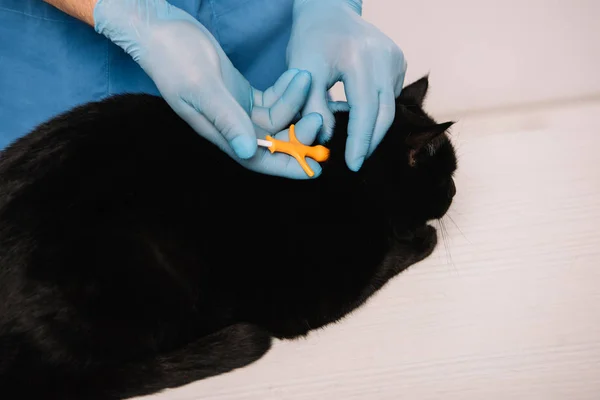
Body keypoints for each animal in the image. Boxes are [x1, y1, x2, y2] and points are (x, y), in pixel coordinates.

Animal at [0, 74, 458, 396]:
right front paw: (420, 237)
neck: (348, 175)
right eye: (447, 174)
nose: (455, 191)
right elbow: (386, 260)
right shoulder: (307, 301)